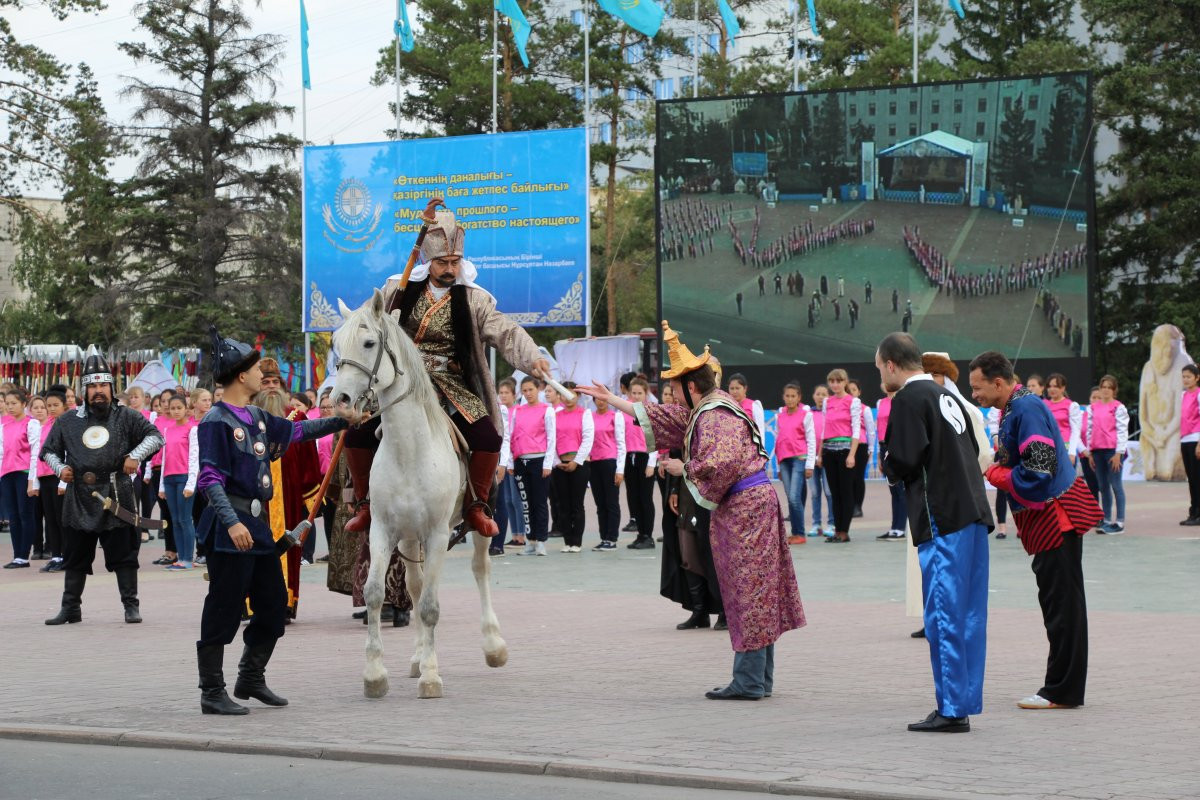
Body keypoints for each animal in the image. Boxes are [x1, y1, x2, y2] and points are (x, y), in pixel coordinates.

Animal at [331, 291, 508, 695]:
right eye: (335, 345)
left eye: (369, 343)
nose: (341, 399)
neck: (409, 449)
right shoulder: (383, 529)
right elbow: (377, 592)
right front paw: (375, 674)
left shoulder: (438, 533)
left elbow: (430, 606)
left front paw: (431, 676)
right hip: (409, 537)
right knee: (413, 585)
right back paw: (416, 657)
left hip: (477, 520)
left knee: (480, 569)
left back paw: (493, 645)